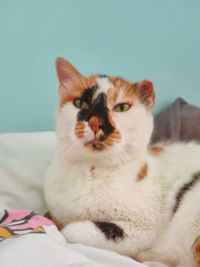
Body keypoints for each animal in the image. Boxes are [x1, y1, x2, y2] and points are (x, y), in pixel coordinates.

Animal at [44, 57, 200, 266]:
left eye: (122, 107)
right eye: (81, 103)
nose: (95, 122)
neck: (92, 171)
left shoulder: (142, 227)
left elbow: (70, 231)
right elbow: (50, 216)